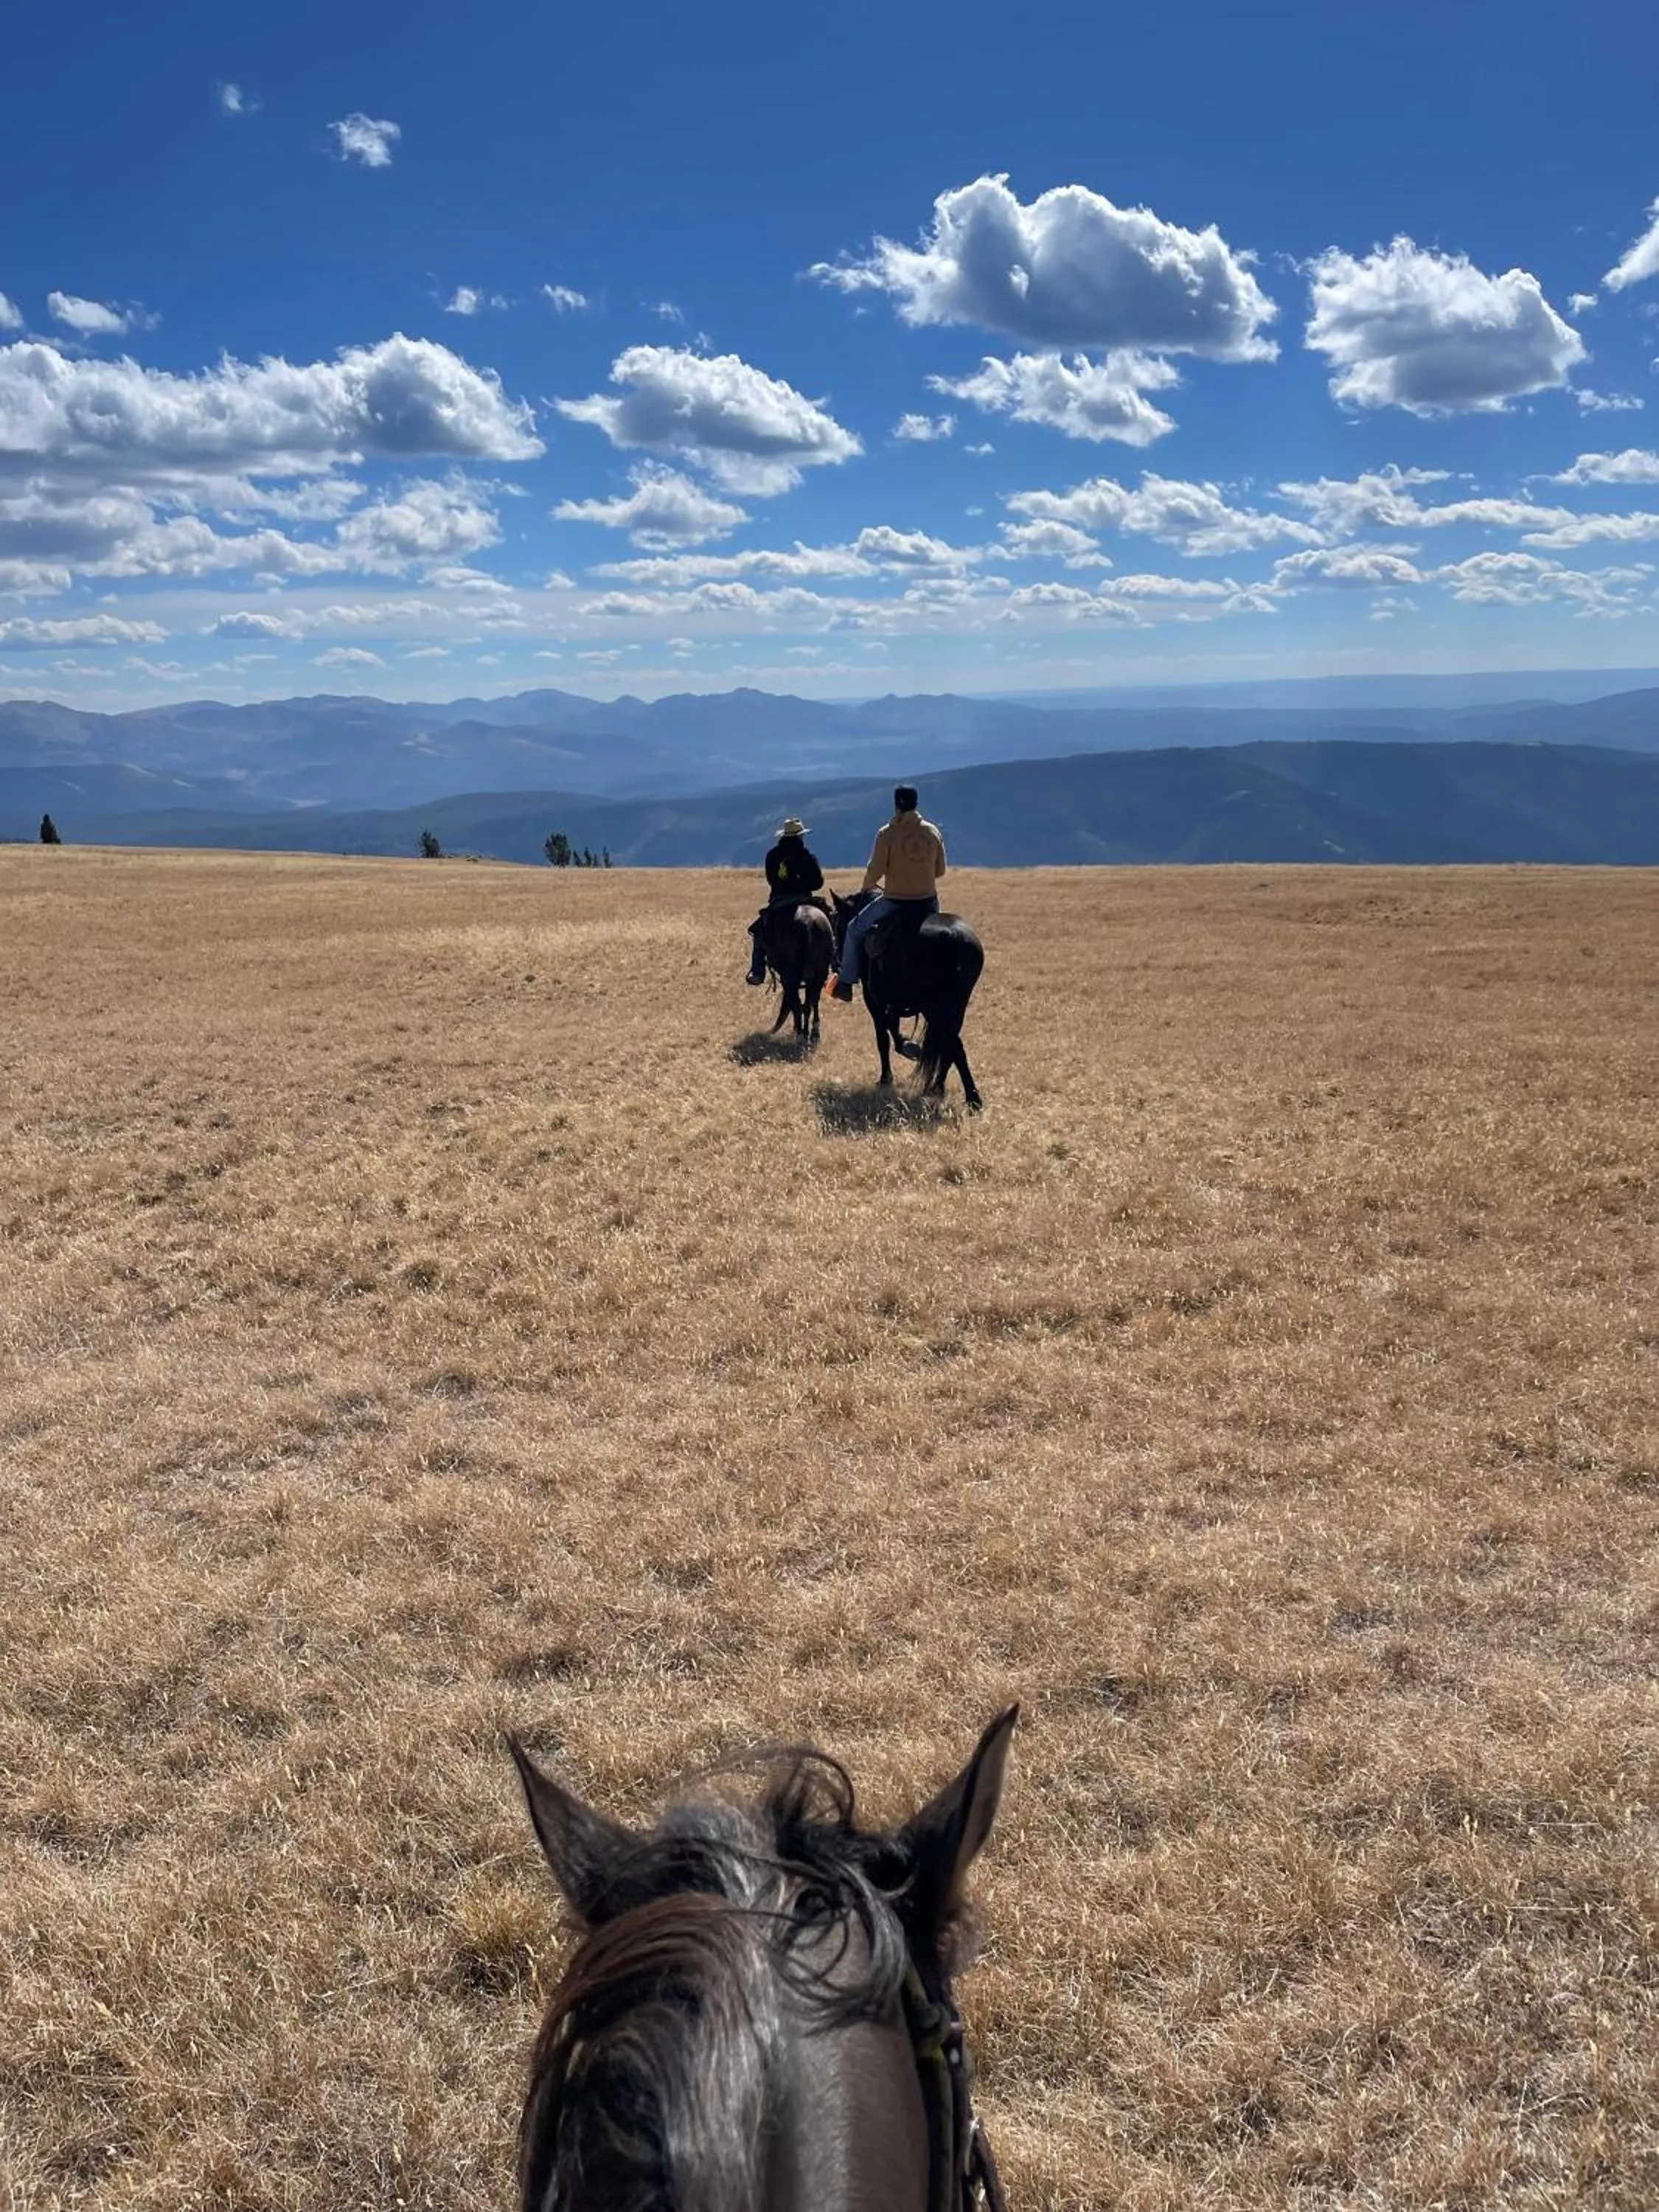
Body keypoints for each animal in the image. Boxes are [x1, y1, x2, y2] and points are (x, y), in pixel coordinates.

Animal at [759, 900, 833, 1044]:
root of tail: (807, 924)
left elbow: (796, 1004)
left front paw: (800, 1031)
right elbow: (808, 1004)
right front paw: (807, 1032)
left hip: (791, 978)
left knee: (797, 1005)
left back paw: (799, 1034)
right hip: (820, 975)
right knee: (813, 1002)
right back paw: (814, 1033)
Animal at [829, 892, 985, 1111]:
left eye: (836, 923)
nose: (835, 961)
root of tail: (955, 937)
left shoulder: (874, 1000)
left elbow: (883, 1037)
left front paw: (887, 1076)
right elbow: (892, 1027)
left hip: (935, 1008)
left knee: (952, 1045)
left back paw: (971, 1098)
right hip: (954, 1008)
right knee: (950, 1045)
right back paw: (940, 1089)